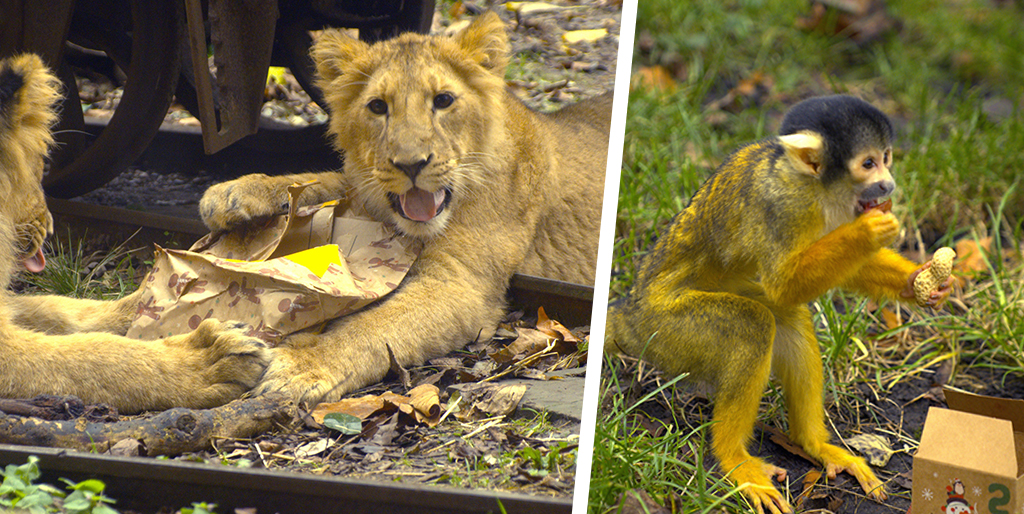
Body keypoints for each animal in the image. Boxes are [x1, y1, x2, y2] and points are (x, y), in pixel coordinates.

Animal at [606, 94, 950, 511]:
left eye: (887, 157)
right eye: (868, 163)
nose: (888, 183)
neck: (818, 188)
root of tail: (631, 311)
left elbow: (825, 280)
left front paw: (918, 282)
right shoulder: (783, 205)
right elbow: (782, 284)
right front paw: (869, 232)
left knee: (787, 317)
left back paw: (812, 443)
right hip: (669, 330)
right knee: (754, 324)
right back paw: (735, 458)